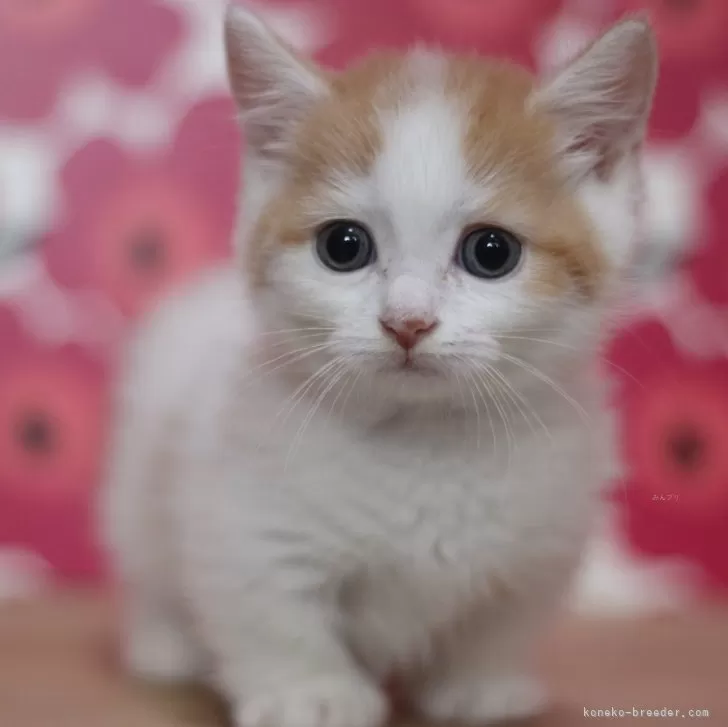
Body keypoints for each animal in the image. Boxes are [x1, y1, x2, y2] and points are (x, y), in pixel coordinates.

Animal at [102, 7, 660, 727]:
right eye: (343, 246)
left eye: (491, 252)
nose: (407, 321)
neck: (423, 441)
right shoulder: (243, 520)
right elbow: (271, 612)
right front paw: (309, 690)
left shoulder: (544, 538)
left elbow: (503, 619)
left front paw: (479, 683)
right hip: (136, 481)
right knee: (149, 566)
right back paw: (164, 642)